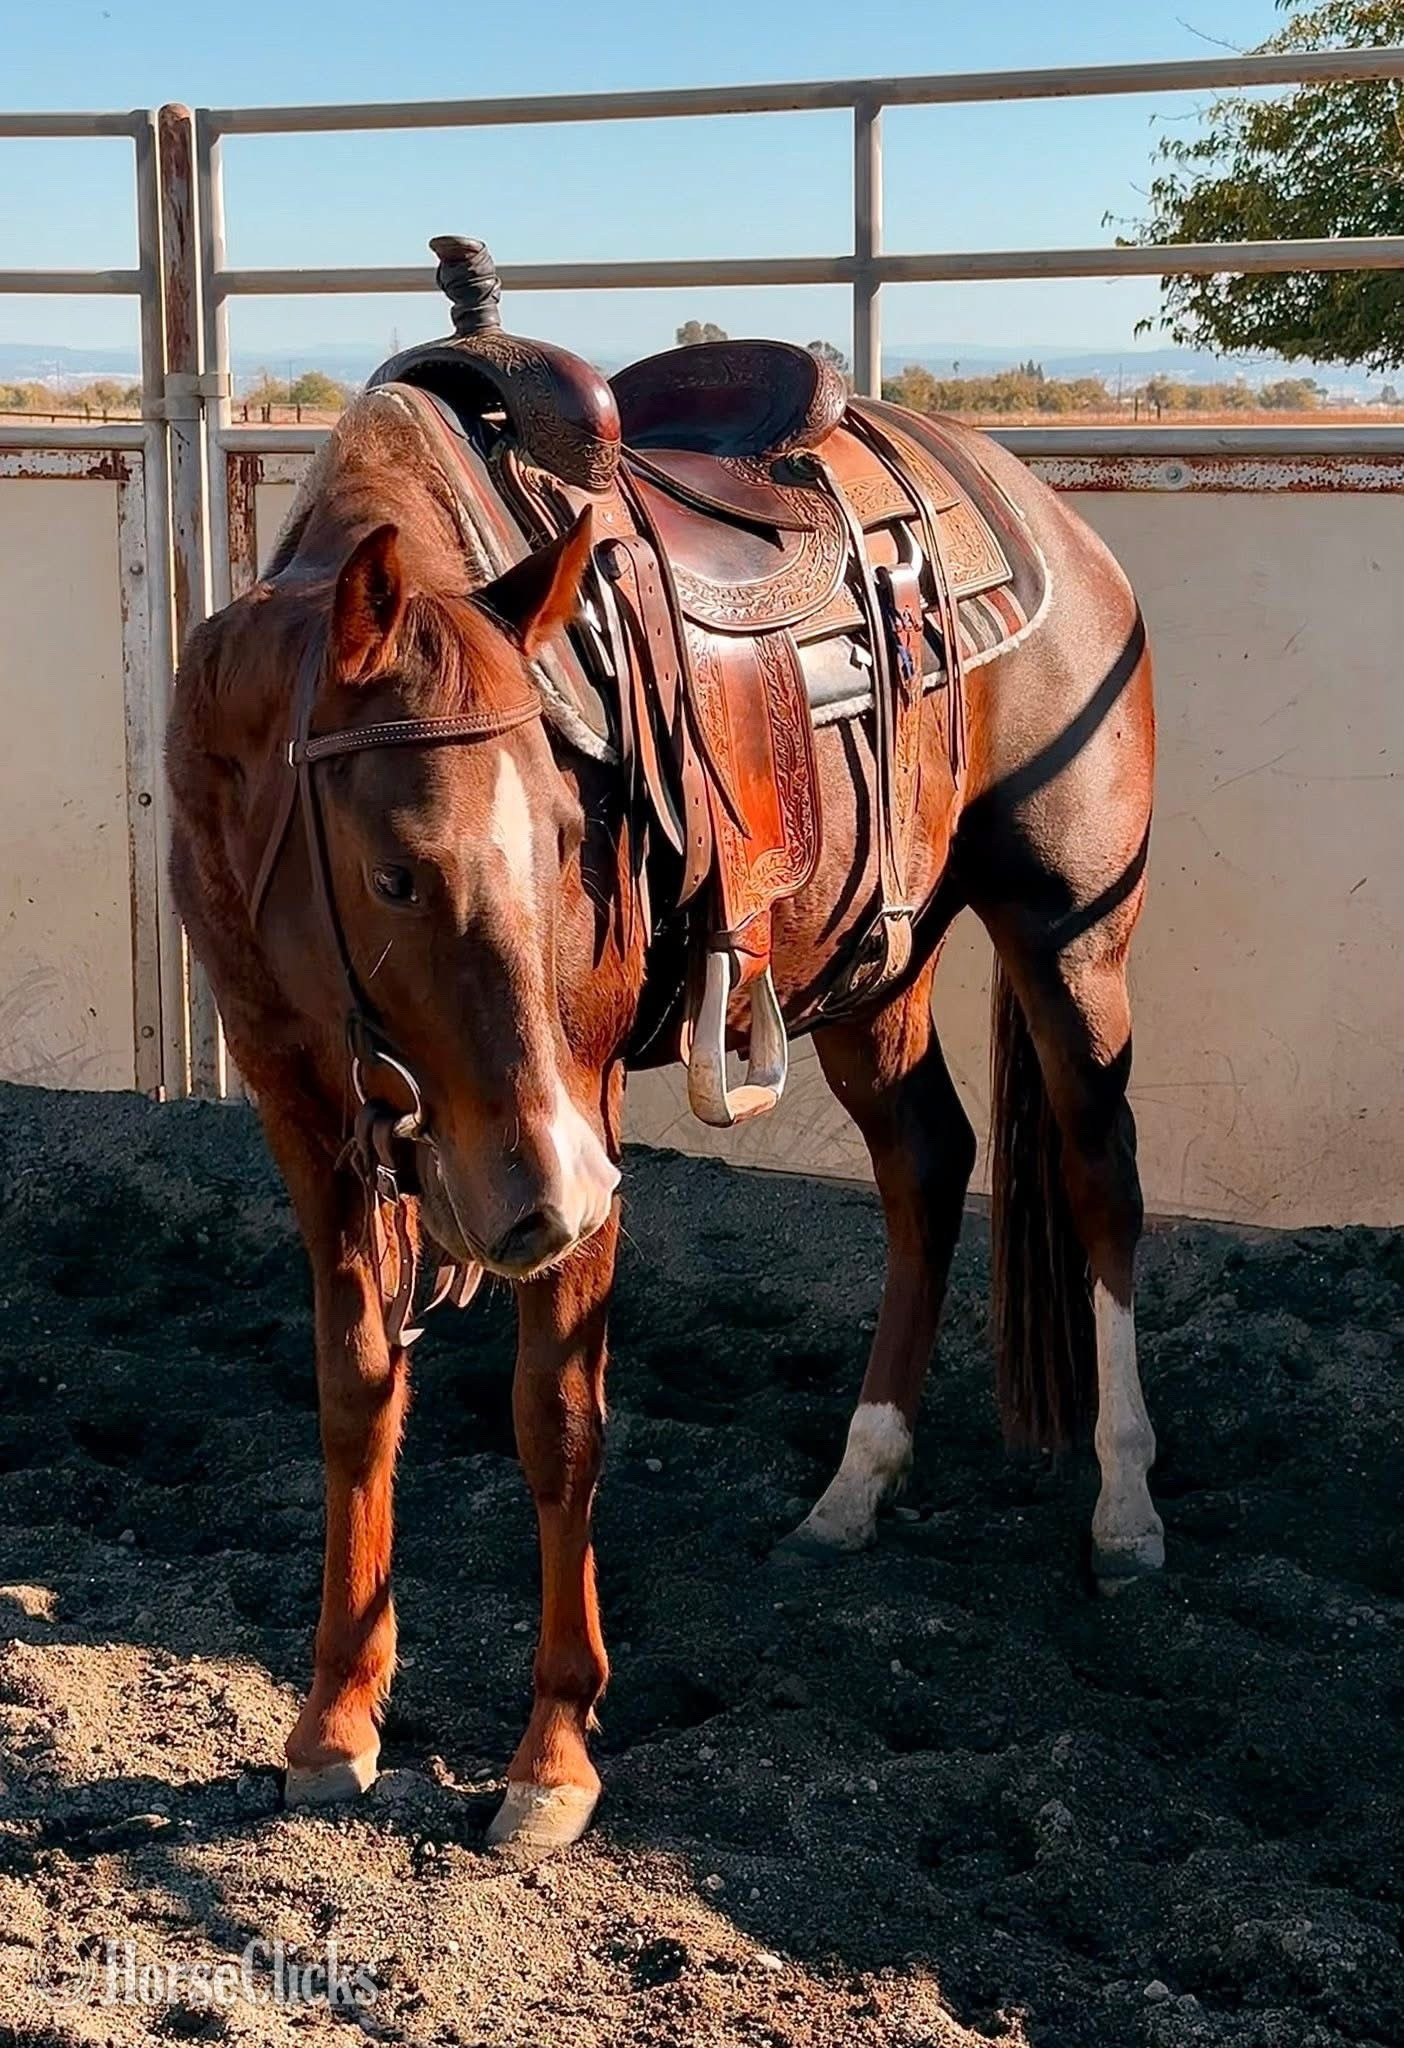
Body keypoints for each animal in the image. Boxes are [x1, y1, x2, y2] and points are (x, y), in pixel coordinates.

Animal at [167, 308, 1159, 1857]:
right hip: (875, 963)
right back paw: (854, 1486)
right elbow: (354, 1392)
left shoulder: (578, 1100)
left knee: (1100, 1179)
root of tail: (1050, 518)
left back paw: (1127, 1510)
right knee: (928, 1163)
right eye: (393, 872)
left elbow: (558, 1418)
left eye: (578, 829)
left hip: (1070, 937)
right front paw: (333, 1721)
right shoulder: (304, 1106)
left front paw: (555, 1753)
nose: (556, 1199)